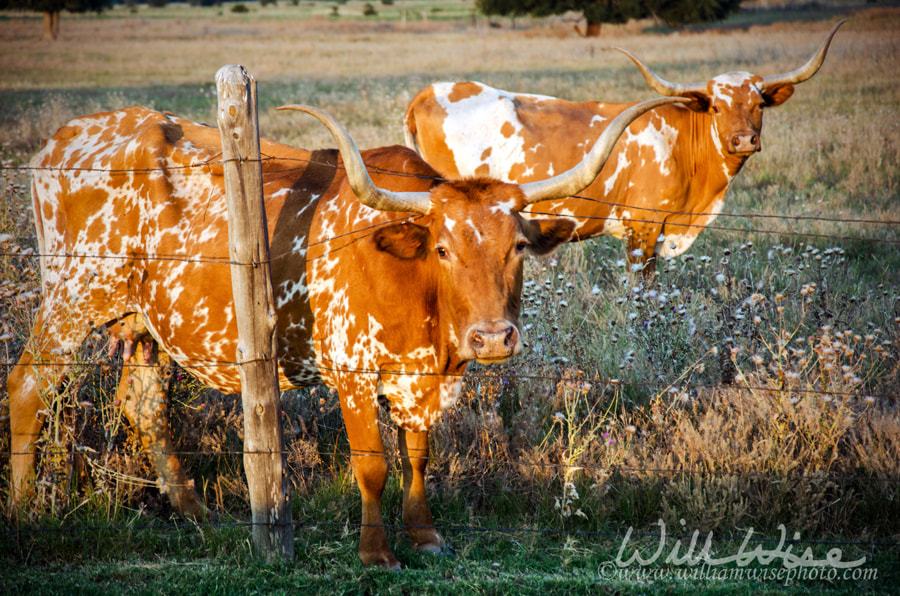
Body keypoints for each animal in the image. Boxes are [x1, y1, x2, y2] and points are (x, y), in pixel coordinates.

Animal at [10, 96, 680, 564]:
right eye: (441, 248)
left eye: (518, 246)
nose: (493, 339)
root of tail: (65, 137)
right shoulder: (354, 374)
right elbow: (373, 464)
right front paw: (376, 552)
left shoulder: (423, 380)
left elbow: (419, 454)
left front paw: (425, 535)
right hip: (70, 301)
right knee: (28, 390)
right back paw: (21, 510)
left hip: (146, 324)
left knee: (145, 405)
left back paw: (199, 513)